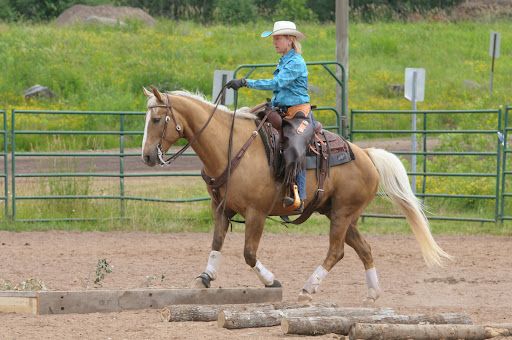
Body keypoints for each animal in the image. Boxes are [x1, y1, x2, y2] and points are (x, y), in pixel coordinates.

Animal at [142, 87, 450, 302]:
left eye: (156, 119)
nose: (146, 157)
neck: (231, 146)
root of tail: (366, 155)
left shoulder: (256, 213)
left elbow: (249, 253)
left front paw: (272, 282)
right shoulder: (220, 208)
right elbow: (216, 243)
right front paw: (205, 278)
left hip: (342, 214)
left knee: (336, 251)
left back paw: (307, 289)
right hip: (341, 215)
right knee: (364, 249)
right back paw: (372, 293)